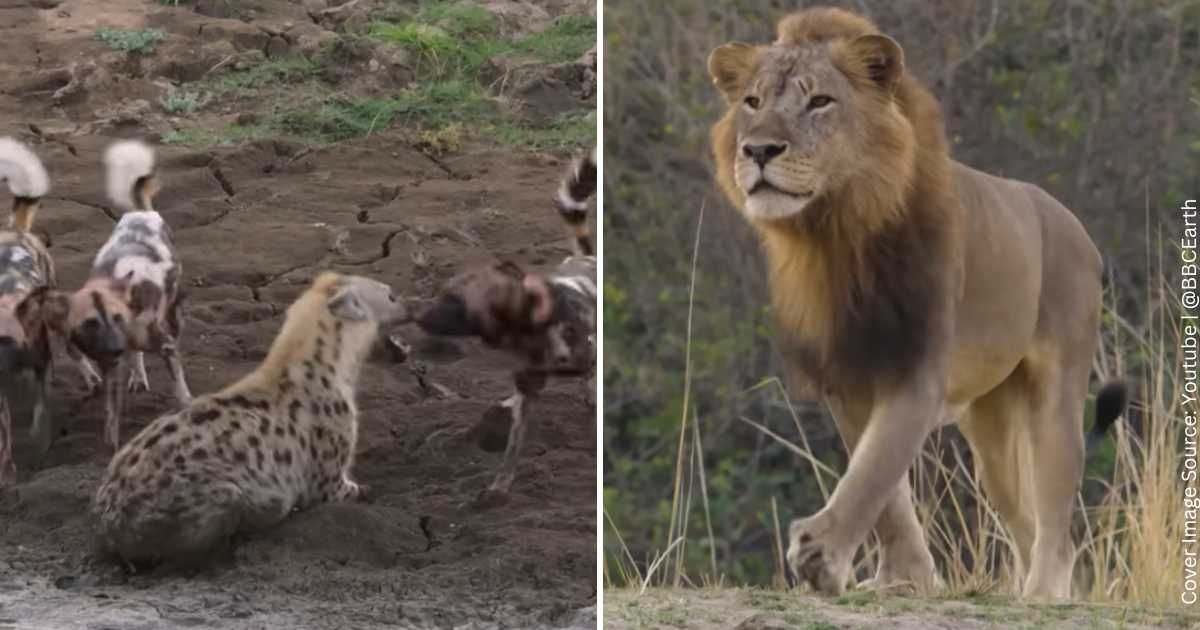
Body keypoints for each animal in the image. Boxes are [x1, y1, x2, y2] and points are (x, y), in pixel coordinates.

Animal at [706, 8, 1126, 600]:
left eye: (820, 102)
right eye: (752, 102)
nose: (759, 150)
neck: (836, 238)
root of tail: (1078, 228)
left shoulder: (917, 367)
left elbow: (875, 468)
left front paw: (820, 554)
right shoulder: (848, 374)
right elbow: (886, 491)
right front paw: (901, 579)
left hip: (1057, 394)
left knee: (1055, 515)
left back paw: (1044, 594)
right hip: (990, 431)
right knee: (1022, 517)